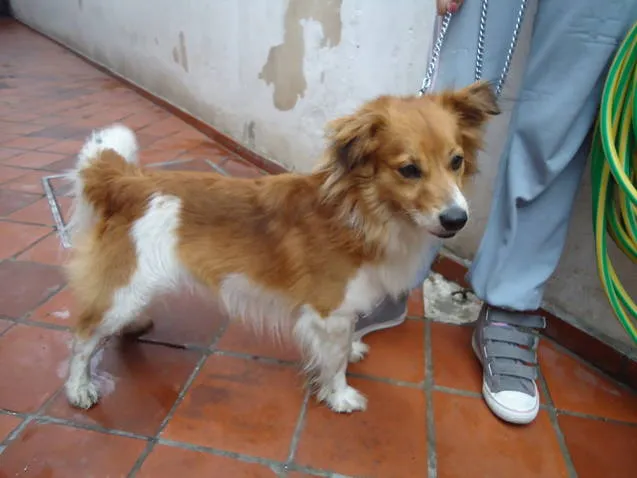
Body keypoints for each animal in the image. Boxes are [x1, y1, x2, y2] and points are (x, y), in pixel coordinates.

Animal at [63, 80, 496, 412]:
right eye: (409, 170)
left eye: (456, 161)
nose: (457, 219)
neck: (363, 212)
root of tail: (129, 183)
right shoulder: (328, 312)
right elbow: (334, 362)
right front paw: (340, 396)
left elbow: (344, 346)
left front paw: (353, 350)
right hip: (123, 289)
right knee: (83, 336)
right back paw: (79, 386)